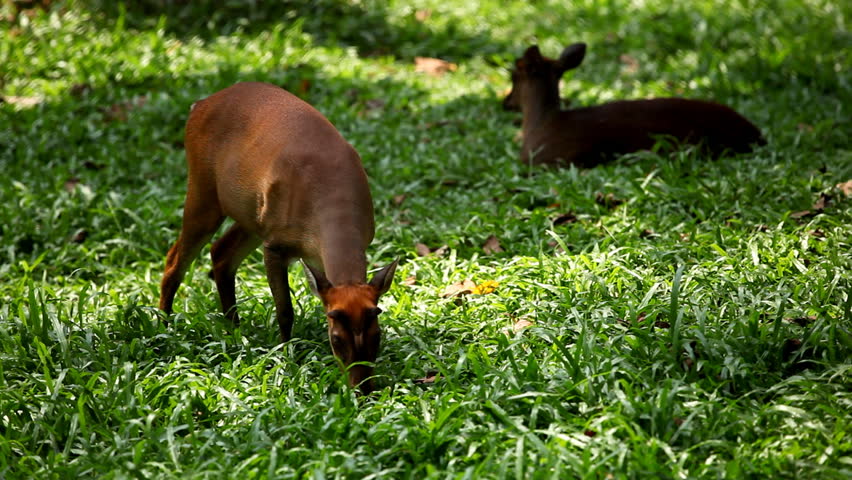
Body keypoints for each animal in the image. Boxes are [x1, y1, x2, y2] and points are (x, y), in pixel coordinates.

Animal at [158, 81, 398, 395]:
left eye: (377, 335)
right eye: (335, 339)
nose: (363, 389)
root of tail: (200, 104)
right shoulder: (275, 244)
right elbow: (285, 310)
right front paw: (287, 358)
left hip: (251, 216)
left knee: (221, 253)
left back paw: (233, 329)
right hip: (204, 190)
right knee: (175, 260)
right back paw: (162, 329)